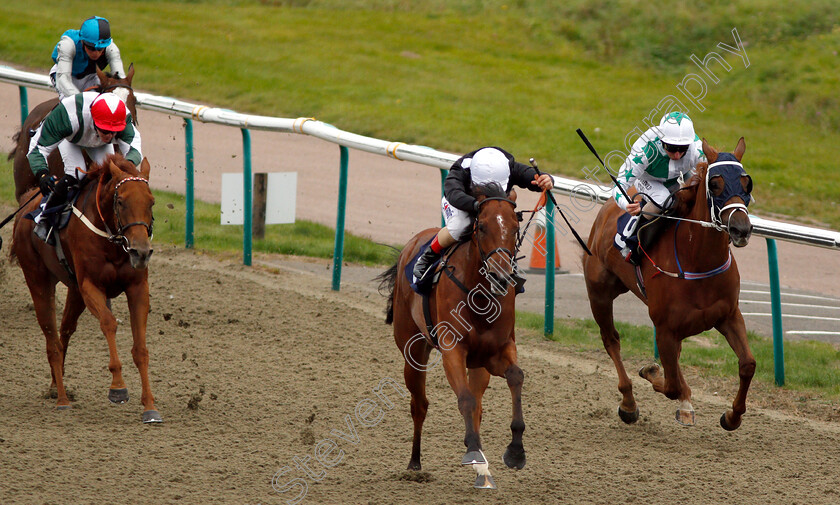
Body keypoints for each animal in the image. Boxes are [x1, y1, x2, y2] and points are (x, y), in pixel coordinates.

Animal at [9, 153, 160, 422]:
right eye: (120, 201)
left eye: (151, 202)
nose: (141, 252)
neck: (112, 240)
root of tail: (27, 204)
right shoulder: (91, 286)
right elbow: (109, 322)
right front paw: (118, 388)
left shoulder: (137, 287)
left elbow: (141, 348)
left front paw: (150, 406)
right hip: (38, 279)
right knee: (52, 339)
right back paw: (61, 399)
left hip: (75, 291)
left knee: (64, 331)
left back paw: (54, 385)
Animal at [378, 184, 524, 488]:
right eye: (482, 226)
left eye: (515, 228)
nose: (501, 277)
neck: (479, 294)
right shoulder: (452, 350)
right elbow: (465, 399)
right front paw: (473, 452)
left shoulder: (497, 351)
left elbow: (515, 377)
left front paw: (516, 451)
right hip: (412, 353)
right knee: (419, 405)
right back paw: (415, 462)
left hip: (478, 365)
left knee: (478, 405)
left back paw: (484, 472)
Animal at [584, 137, 756, 430]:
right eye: (715, 184)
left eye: (747, 184)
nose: (741, 229)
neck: (697, 261)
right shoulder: (665, 329)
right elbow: (672, 385)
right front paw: (652, 372)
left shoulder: (729, 315)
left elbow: (747, 364)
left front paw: (732, 416)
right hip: (599, 294)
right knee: (611, 340)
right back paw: (628, 404)